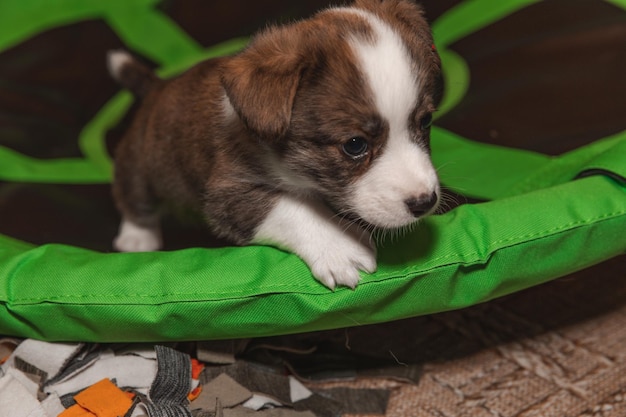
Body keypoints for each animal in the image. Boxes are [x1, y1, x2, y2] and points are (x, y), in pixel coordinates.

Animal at [107, 0, 438, 290]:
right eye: (355, 145)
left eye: (425, 122)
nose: (425, 202)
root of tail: (157, 86)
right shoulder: (227, 192)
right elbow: (290, 206)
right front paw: (339, 245)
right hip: (140, 160)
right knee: (133, 193)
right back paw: (137, 237)